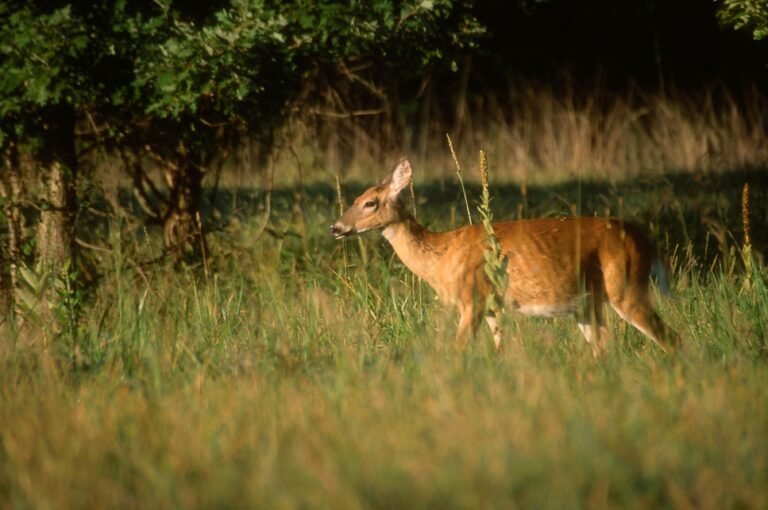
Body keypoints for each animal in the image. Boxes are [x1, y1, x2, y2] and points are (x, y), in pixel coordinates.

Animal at [330, 159, 678, 355]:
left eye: (370, 203)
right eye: (356, 198)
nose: (336, 227)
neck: (440, 255)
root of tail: (646, 239)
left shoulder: (472, 298)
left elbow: (458, 351)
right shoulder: (492, 306)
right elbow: (500, 351)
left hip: (626, 286)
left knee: (670, 337)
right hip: (589, 303)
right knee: (606, 347)